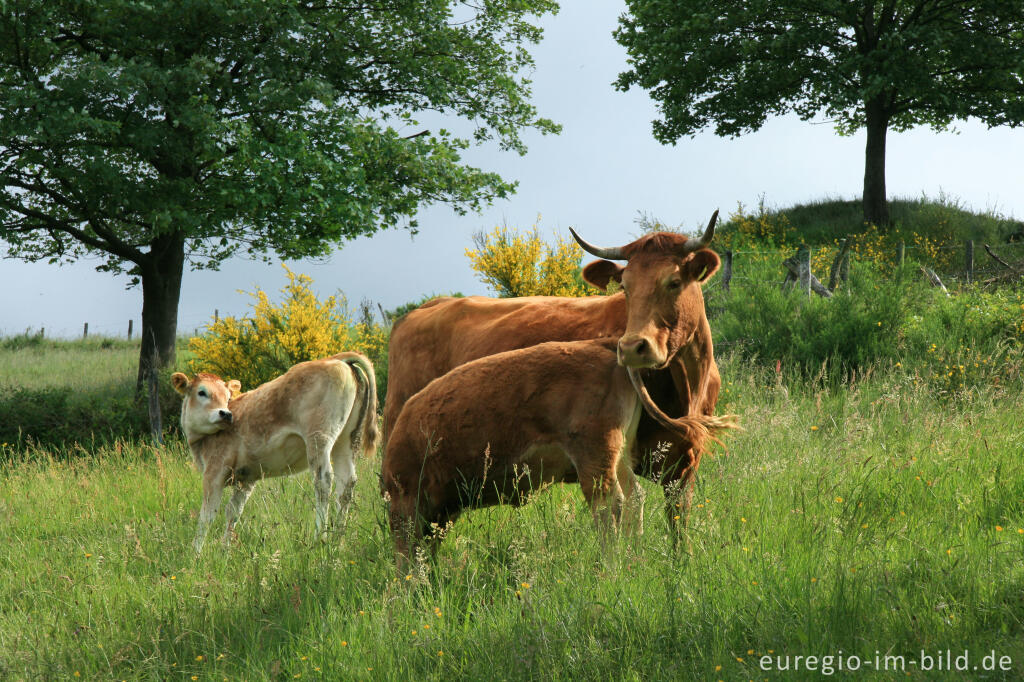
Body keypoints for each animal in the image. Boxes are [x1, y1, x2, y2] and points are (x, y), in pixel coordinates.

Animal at [172, 352, 380, 548]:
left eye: (227, 396)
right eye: (202, 392)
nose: (225, 414)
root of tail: (336, 359)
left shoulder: (213, 473)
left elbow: (207, 516)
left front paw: (196, 552)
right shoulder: (247, 478)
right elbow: (233, 512)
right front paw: (225, 549)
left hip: (319, 439)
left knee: (324, 482)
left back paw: (319, 538)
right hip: (346, 441)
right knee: (346, 484)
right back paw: (338, 539)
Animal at [380, 209, 724, 528]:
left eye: (674, 282)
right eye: (625, 287)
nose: (631, 347)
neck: (689, 383)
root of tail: (426, 307)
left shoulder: (683, 465)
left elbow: (678, 526)